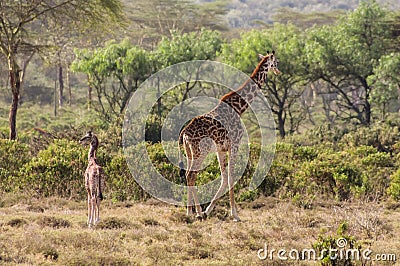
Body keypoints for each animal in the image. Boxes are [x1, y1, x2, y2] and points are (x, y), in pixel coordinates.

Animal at [180, 51, 280, 221]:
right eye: (276, 63)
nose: (279, 71)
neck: (240, 108)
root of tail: (184, 133)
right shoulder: (235, 144)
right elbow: (232, 177)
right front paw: (235, 214)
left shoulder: (221, 149)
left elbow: (224, 178)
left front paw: (209, 210)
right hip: (201, 151)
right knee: (191, 174)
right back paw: (197, 212)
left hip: (189, 152)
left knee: (188, 174)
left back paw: (190, 212)